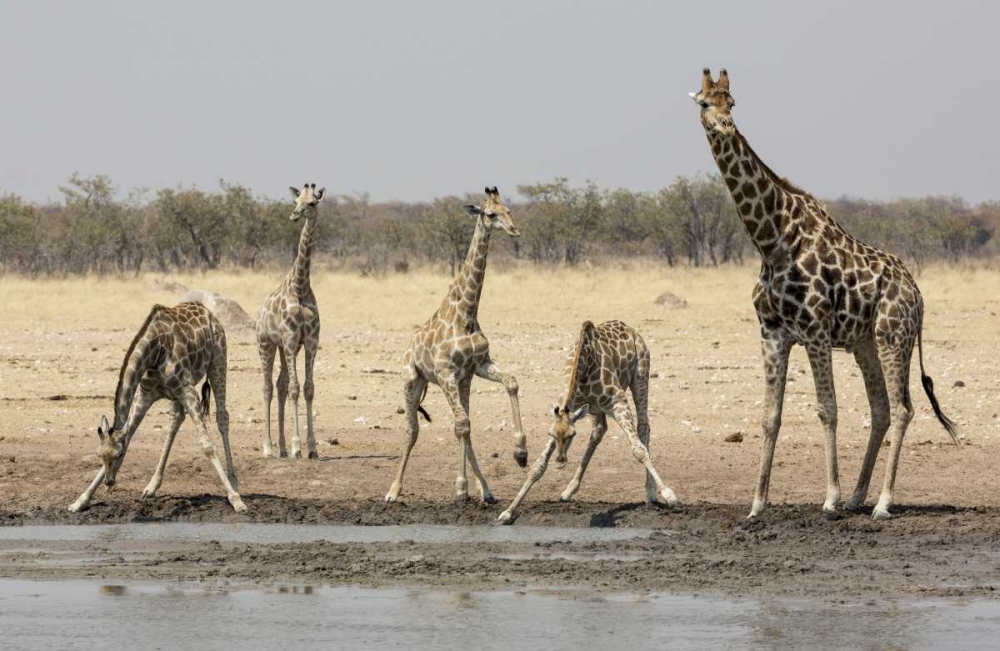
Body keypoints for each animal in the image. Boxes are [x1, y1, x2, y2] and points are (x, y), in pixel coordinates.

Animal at [69, 302, 245, 513]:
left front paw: (236, 500)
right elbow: (129, 434)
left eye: (119, 454)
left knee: (222, 416)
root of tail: (207, 311)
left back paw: (234, 483)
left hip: (218, 360)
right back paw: (151, 486)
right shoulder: (145, 394)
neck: (155, 350)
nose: (109, 482)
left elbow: (207, 446)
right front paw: (80, 501)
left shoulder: (187, 390)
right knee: (175, 420)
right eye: (99, 455)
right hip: (177, 394)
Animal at [384, 186, 528, 505]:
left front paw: (521, 452)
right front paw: (460, 488)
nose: (515, 230)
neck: (467, 313)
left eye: (509, 210)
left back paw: (486, 489)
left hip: (463, 384)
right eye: (491, 214)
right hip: (412, 380)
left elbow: (511, 383)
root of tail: (408, 347)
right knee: (414, 430)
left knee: (465, 426)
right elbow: (460, 425)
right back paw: (392, 491)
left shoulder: (478, 366)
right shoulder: (446, 373)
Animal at [498, 320, 679, 523]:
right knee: (599, 431)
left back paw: (651, 493)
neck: (583, 368)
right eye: (551, 433)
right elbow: (538, 466)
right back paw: (568, 490)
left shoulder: (618, 402)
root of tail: (630, 329)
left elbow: (638, 450)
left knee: (643, 426)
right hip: (597, 409)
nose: (560, 460)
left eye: (573, 434)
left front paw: (669, 495)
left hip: (640, 374)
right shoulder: (569, 407)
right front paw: (508, 511)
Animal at [690, 68, 958, 521]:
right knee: (881, 409)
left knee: (903, 408)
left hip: (893, 337)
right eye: (705, 103)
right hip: (866, 343)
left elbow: (827, 409)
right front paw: (757, 504)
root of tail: (918, 295)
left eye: (733, 102)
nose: (724, 126)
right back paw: (858, 496)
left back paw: (881, 503)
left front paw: (829, 498)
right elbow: (771, 416)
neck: (771, 240)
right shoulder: (772, 333)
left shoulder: (814, 331)